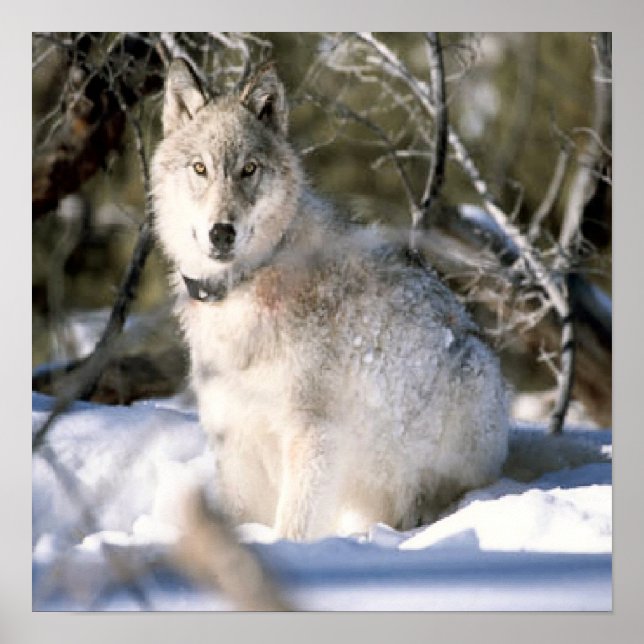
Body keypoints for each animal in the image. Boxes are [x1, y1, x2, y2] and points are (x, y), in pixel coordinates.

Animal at [151, 59, 508, 540]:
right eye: (200, 168)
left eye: (249, 169)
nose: (221, 232)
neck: (246, 286)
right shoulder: (236, 439)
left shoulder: (313, 435)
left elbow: (294, 527)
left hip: (463, 389)